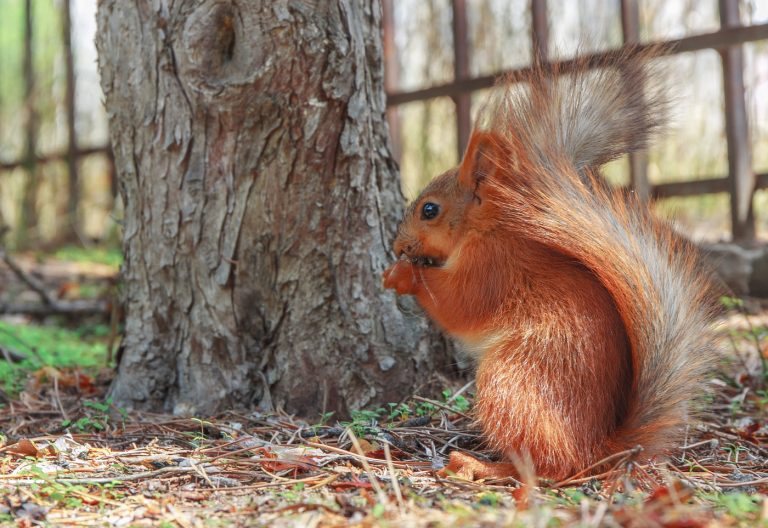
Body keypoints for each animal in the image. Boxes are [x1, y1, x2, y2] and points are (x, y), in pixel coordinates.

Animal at [384, 50, 720, 482]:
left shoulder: (491, 269)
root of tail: (595, 450)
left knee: (545, 466)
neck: (486, 230)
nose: (397, 245)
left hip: (512, 382)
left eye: (430, 210)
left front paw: (404, 274)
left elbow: (458, 304)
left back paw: (481, 465)